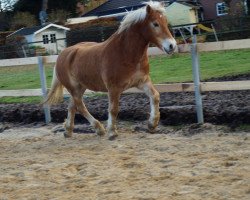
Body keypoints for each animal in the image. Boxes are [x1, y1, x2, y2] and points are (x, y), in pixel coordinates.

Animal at [44, 1, 176, 139]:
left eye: (165, 21)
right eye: (155, 23)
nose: (172, 45)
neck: (125, 53)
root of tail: (62, 55)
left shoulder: (142, 81)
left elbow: (155, 96)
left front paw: (152, 124)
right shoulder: (113, 88)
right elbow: (113, 109)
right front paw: (112, 131)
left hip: (80, 87)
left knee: (72, 106)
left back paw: (68, 131)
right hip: (73, 88)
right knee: (80, 106)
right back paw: (99, 129)